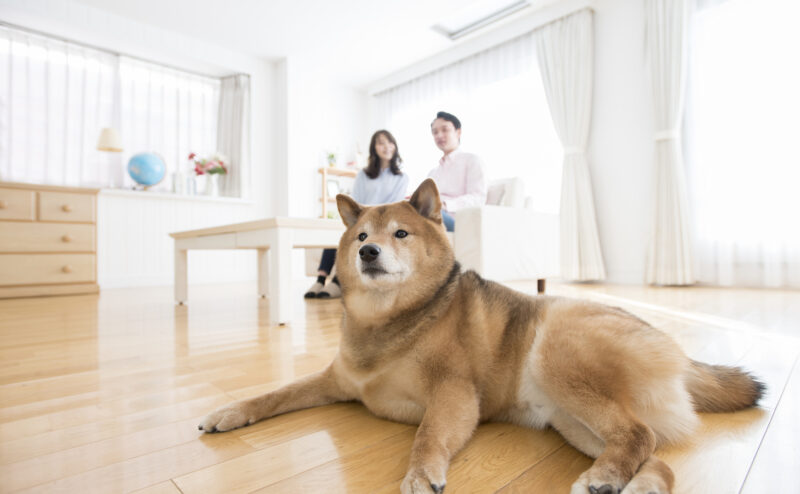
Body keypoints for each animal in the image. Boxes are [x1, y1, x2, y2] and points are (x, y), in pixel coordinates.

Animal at [200, 179, 764, 494]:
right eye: (360, 236)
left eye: (399, 234)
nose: (367, 253)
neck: (387, 323)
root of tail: (683, 356)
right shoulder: (334, 380)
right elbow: (274, 394)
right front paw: (228, 413)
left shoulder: (453, 394)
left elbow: (428, 436)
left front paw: (421, 474)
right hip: (572, 421)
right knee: (657, 460)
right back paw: (635, 484)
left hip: (557, 358)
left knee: (640, 435)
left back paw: (607, 479)